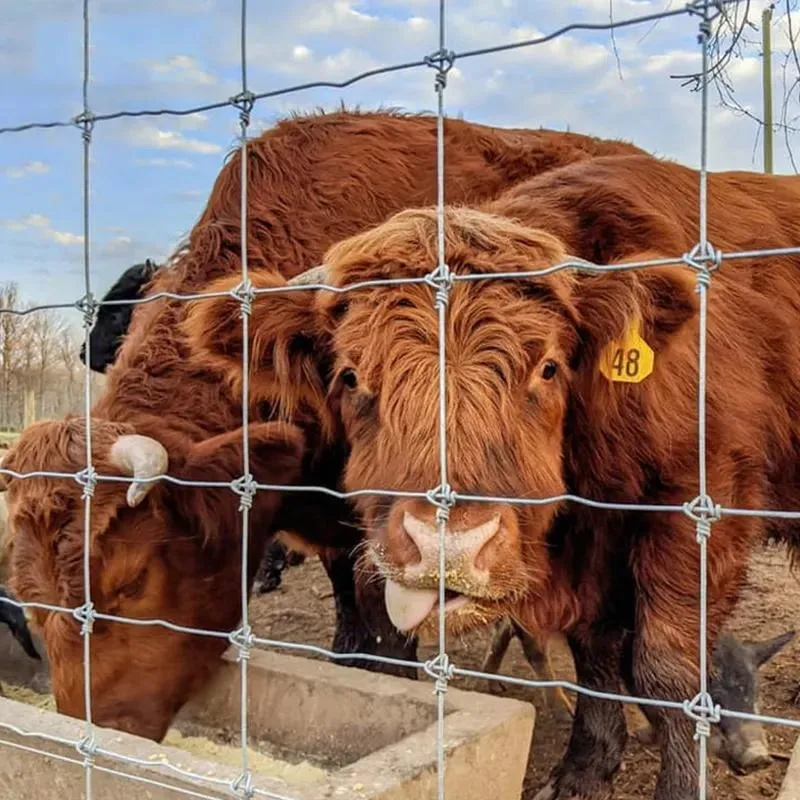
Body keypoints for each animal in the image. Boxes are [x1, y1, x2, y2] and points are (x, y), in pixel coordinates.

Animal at [184, 153, 800, 799]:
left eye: (549, 367)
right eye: (350, 376)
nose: (447, 546)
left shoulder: (703, 503)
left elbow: (668, 668)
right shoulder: (589, 538)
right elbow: (595, 649)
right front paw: (585, 767)